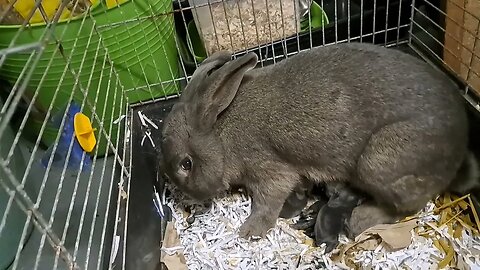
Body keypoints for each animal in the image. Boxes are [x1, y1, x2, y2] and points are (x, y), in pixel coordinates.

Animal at [158, 42, 476, 240]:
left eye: (186, 164)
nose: (187, 196)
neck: (221, 134)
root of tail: (460, 147)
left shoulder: (268, 171)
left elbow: (267, 201)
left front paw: (250, 231)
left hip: (379, 161)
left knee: (407, 206)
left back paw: (359, 220)